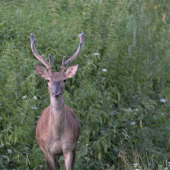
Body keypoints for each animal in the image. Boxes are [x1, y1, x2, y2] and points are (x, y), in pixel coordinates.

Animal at [29, 32, 84, 170]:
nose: (56, 93)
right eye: (48, 80)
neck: (57, 137)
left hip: (75, 144)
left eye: (64, 79)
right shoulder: (47, 152)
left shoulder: (69, 148)